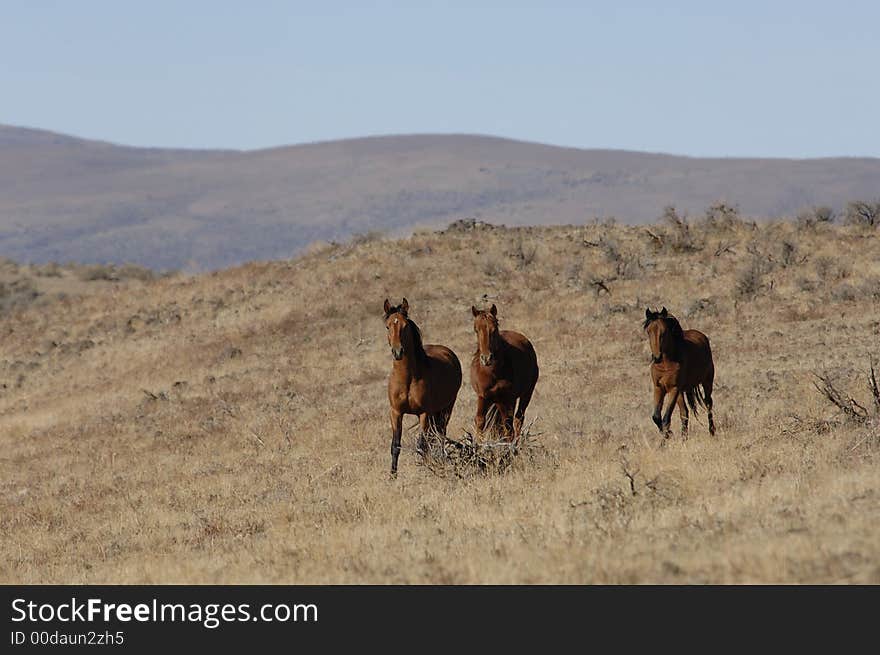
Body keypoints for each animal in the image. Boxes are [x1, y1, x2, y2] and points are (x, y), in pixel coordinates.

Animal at [382, 298, 460, 476]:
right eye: (388, 326)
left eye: (405, 326)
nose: (398, 352)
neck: (407, 379)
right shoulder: (396, 413)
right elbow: (395, 446)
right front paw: (392, 476)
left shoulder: (424, 413)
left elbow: (421, 445)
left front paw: (424, 469)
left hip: (446, 408)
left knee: (440, 435)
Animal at [470, 306, 540, 440]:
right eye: (476, 330)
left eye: (494, 329)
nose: (486, 358)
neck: (491, 373)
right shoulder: (482, 397)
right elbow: (480, 422)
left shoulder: (507, 399)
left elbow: (508, 427)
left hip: (525, 394)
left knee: (517, 420)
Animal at [648, 308, 716, 440]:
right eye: (648, 332)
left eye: (663, 332)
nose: (657, 357)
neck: (665, 364)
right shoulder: (659, 388)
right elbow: (656, 417)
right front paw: (668, 435)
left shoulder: (673, 389)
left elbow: (666, 418)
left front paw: (666, 437)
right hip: (681, 391)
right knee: (685, 413)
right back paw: (684, 439)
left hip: (707, 382)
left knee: (708, 404)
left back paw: (712, 432)